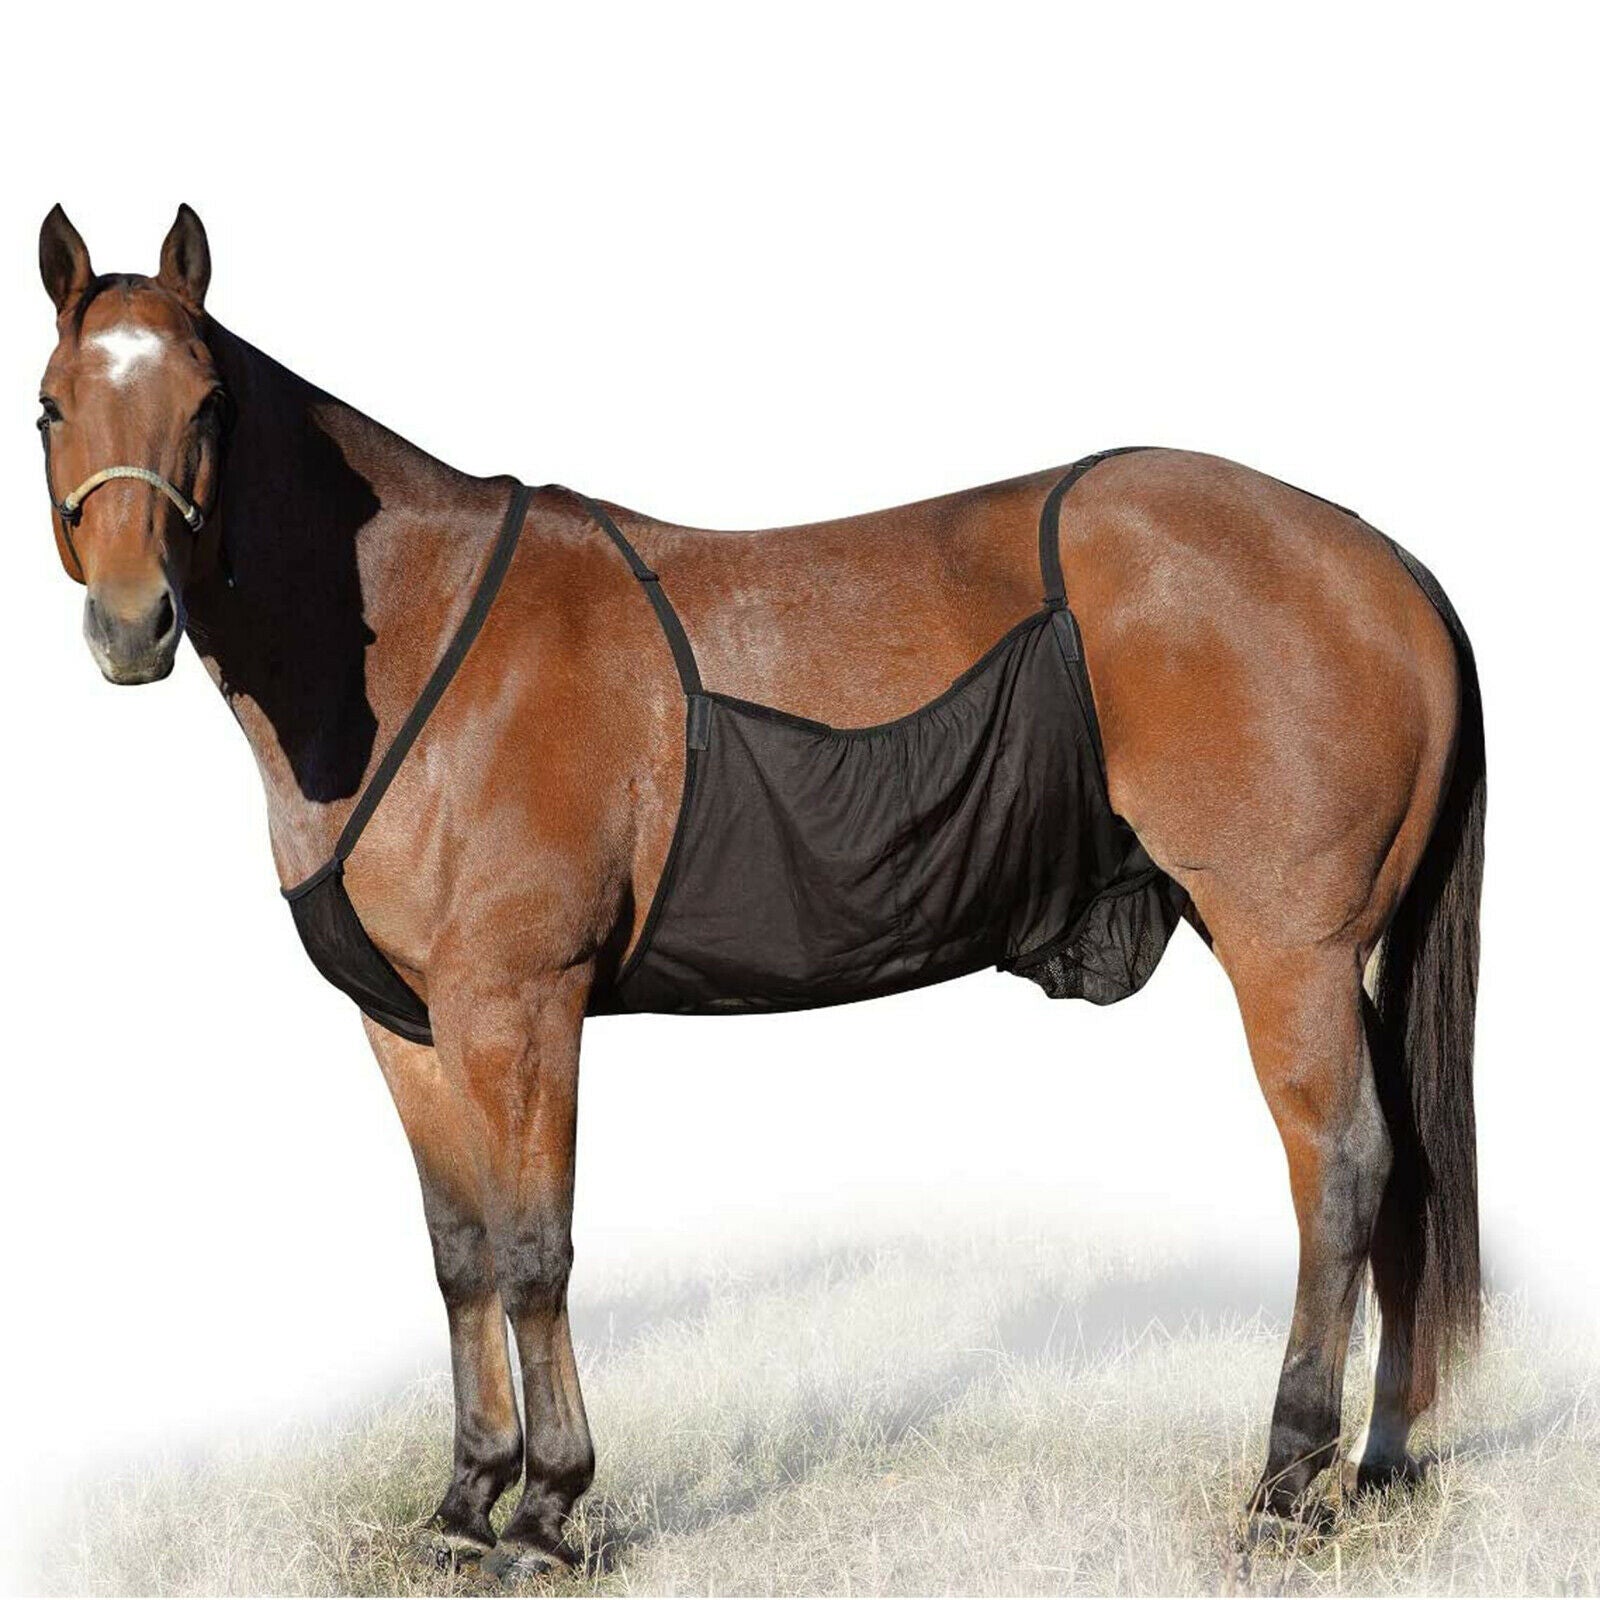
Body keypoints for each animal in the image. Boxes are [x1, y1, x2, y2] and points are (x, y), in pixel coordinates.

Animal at [34, 204, 1483, 1578]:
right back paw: (1380, 1459)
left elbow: (534, 1252)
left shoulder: (520, 1006)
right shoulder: (408, 1023)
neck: (417, 644)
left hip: (1290, 952)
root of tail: (1381, 561)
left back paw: (1288, 1484)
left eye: (206, 405)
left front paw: (546, 1514)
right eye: (51, 404)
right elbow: (459, 1257)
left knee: (1343, 1171)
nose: (132, 624)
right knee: (1400, 1176)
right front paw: (461, 1503)